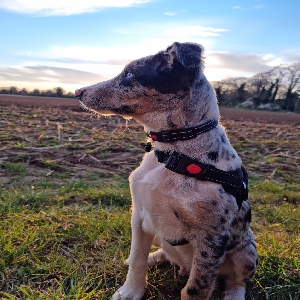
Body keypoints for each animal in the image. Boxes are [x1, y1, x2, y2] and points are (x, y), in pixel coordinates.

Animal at [75, 42, 258, 300]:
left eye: (129, 74)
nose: (77, 92)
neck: (174, 152)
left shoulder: (212, 237)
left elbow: (196, 288)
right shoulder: (139, 216)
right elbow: (137, 259)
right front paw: (130, 291)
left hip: (246, 250)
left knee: (236, 281)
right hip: (158, 236)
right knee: (163, 254)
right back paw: (154, 257)